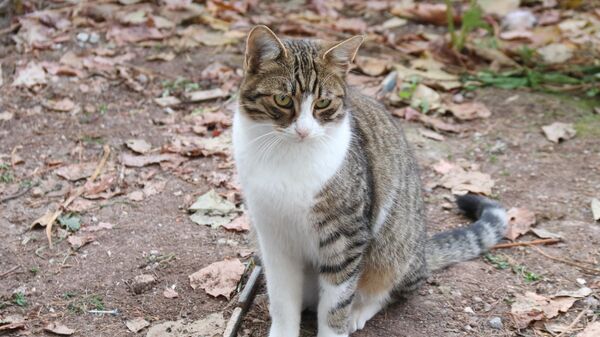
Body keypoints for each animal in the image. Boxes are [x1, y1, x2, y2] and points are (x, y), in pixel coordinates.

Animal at [232, 25, 508, 336]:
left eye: (323, 103)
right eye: (283, 100)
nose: (303, 131)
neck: (287, 156)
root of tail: (423, 253)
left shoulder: (346, 237)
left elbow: (336, 306)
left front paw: (338, 323)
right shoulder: (273, 236)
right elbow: (281, 299)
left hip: (392, 251)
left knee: (389, 290)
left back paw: (359, 311)